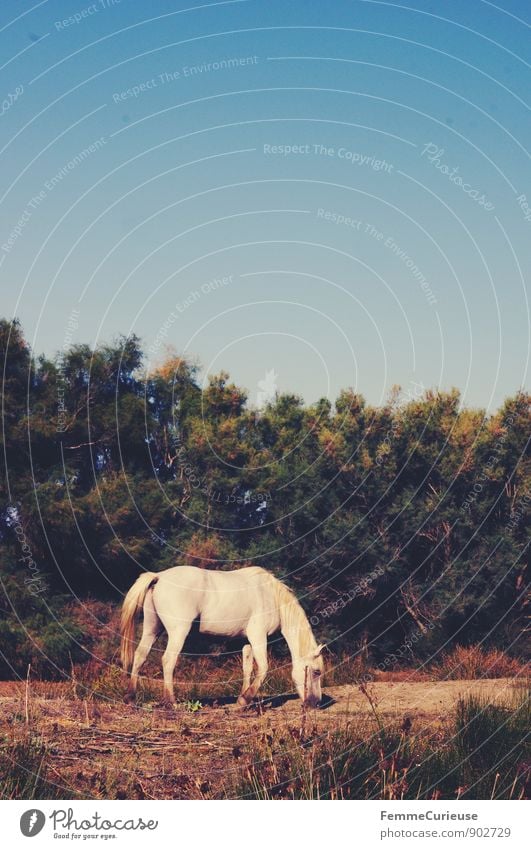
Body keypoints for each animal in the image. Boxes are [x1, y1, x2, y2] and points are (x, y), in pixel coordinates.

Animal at [120, 568, 324, 704]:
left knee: (140, 656)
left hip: (152, 629)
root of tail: (159, 576)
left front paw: (243, 696)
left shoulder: (247, 641)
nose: (315, 703)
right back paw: (171, 701)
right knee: (168, 660)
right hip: (178, 632)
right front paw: (245, 700)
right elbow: (264, 667)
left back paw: (130, 696)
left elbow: (247, 668)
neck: (272, 596)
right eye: (316, 671)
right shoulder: (258, 636)